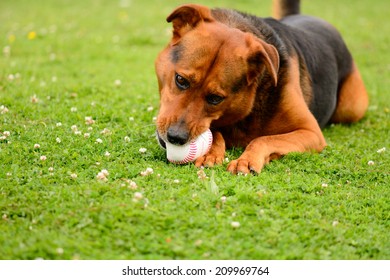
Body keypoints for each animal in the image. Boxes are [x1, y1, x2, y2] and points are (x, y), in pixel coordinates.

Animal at [154, 0, 368, 174]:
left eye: (215, 98)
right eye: (181, 80)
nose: (176, 137)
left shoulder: (311, 132)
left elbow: (264, 138)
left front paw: (246, 159)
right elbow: (214, 130)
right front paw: (210, 152)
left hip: (352, 108)